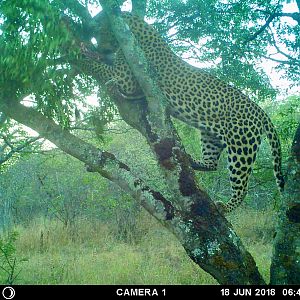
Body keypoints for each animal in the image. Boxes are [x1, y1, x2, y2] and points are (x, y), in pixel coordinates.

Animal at [71, 12, 284, 213]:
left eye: (98, 30)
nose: (100, 46)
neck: (132, 30)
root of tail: (261, 112)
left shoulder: (127, 78)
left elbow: (102, 68)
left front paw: (81, 52)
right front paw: (89, 51)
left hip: (242, 147)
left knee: (242, 186)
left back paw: (226, 206)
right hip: (210, 136)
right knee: (212, 163)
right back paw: (192, 161)